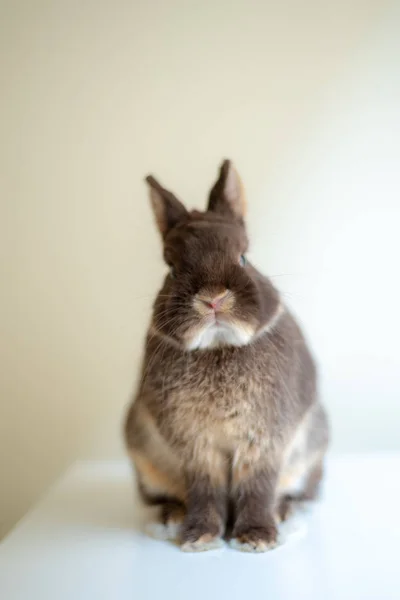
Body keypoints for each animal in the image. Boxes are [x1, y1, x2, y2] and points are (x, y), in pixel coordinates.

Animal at [124, 159, 328, 552]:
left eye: (244, 257)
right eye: (171, 269)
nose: (213, 298)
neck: (218, 345)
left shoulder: (264, 441)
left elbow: (257, 486)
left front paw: (256, 538)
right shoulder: (196, 447)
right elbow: (205, 489)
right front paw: (199, 538)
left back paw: (285, 513)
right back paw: (172, 517)